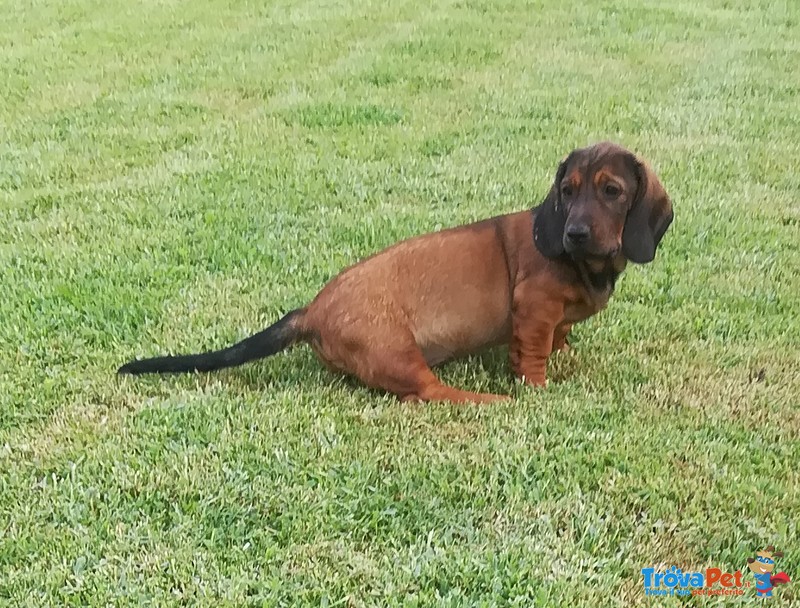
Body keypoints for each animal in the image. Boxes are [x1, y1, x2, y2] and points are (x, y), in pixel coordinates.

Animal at [115, 140, 672, 402]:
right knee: (428, 393)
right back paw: (488, 400)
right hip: (399, 352)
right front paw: (536, 387)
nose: (573, 233)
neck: (587, 265)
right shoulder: (534, 310)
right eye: (567, 191)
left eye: (611, 191)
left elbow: (558, 337)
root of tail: (311, 312)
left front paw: (566, 352)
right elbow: (533, 356)